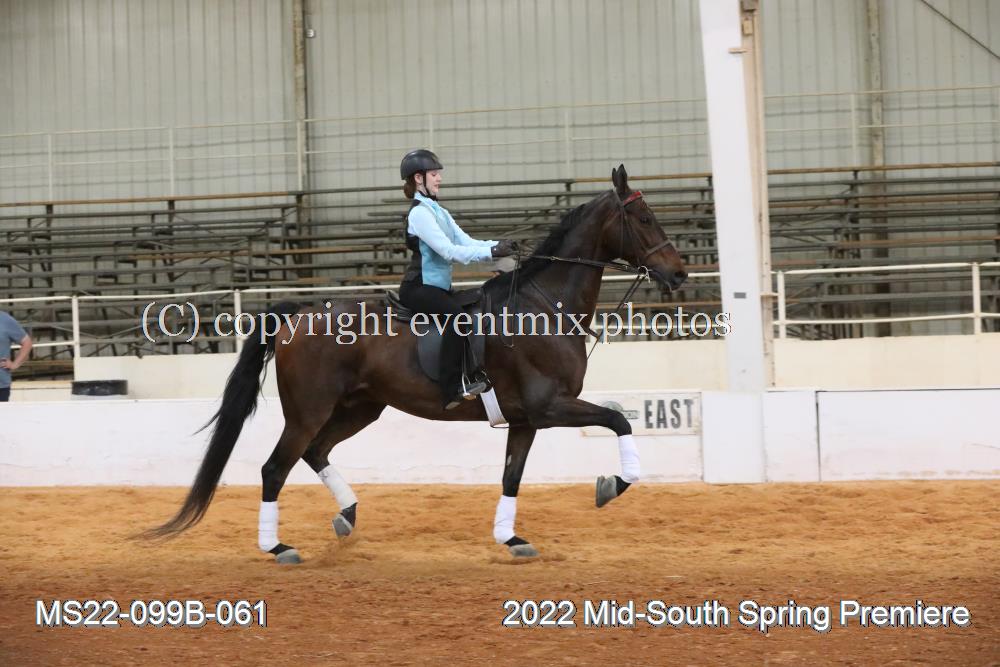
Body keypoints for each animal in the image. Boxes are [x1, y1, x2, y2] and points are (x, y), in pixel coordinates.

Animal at [147, 164, 688, 563]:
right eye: (643, 220)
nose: (679, 274)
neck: (544, 307)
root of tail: (299, 313)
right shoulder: (550, 406)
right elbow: (618, 419)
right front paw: (611, 485)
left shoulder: (525, 419)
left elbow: (511, 476)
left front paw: (511, 539)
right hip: (307, 411)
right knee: (275, 468)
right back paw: (277, 547)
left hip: (360, 408)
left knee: (315, 452)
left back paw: (347, 515)